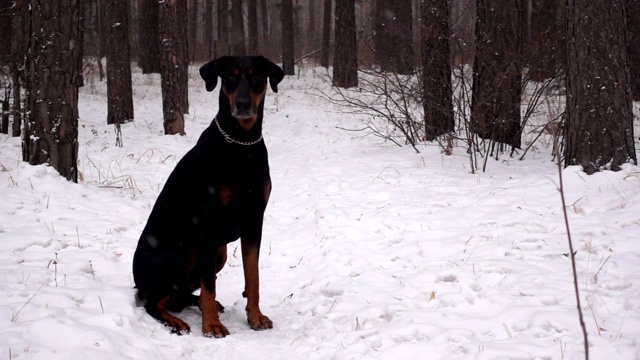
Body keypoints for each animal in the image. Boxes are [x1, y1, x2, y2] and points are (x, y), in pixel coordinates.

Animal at [132, 54, 282, 338]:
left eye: (257, 76)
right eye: (231, 77)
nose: (243, 105)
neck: (241, 144)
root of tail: (137, 281)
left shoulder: (254, 219)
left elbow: (253, 277)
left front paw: (255, 317)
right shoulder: (208, 221)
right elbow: (209, 284)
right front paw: (211, 325)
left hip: (218, 252)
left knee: (179, 295)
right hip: (184, 249)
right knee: (153, 302)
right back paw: (177, 320)